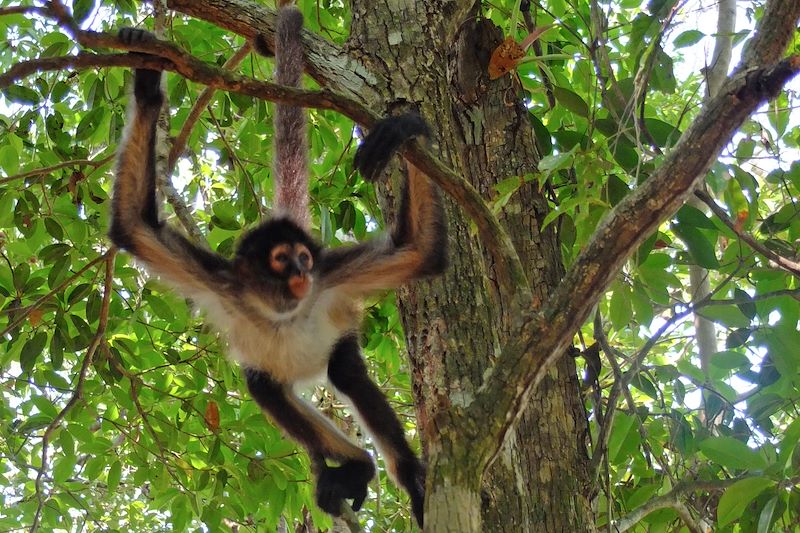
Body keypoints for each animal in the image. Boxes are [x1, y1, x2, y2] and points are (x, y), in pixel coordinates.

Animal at [111, 6, 446, 524]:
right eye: (280, 260)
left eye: (305, 259)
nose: (301, 275)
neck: (279, 309)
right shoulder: (222, 281)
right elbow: (132, 224)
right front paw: (147, 77)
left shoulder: (333, 276)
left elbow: (423, 251)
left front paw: (406, 128)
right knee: (264, 387)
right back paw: (356, 466)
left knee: (344, 372)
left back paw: (397, 472)